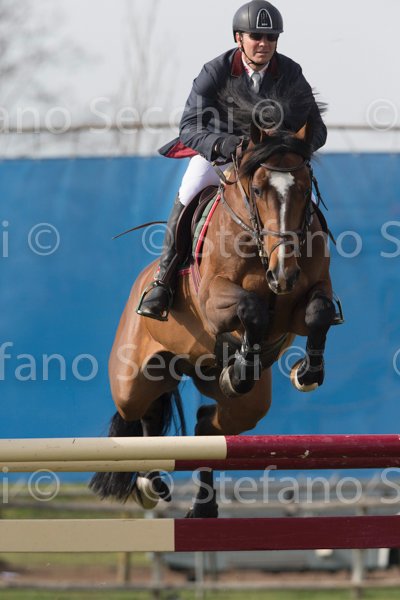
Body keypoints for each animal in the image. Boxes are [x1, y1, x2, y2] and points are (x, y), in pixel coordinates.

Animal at [90, 90, 340, 517]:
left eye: (306, 186)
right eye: (258, 189)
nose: (283, 274)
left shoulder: (306, 299)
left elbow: (317, 312)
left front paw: (306, 373)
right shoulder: (213, 303)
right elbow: (250, 309)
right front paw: (243, 366)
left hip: (245, 407)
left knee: (207, 426)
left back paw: (203, 503)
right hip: (133, 378)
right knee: (142, 416)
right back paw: (150, 483)